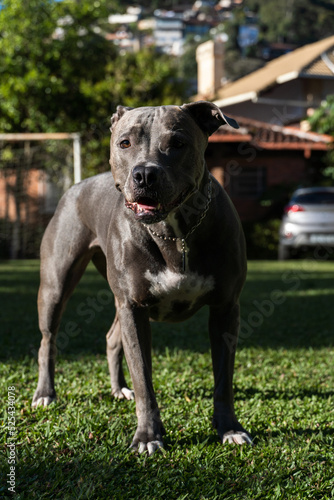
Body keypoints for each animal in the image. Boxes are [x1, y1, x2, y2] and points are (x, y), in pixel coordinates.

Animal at [32, 100, 252, 454]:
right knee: (47, 341)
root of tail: (77, 186)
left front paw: (229, 428)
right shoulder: (134, 308)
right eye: (125, 143)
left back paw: (118, 389)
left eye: (178, 143)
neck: (174, 232)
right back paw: (45, 394)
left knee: (111, 338)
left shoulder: (225, 309)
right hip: (56, 285)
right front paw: (148, 436)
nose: (145, 173)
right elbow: (144, 379)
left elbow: (224, 379)